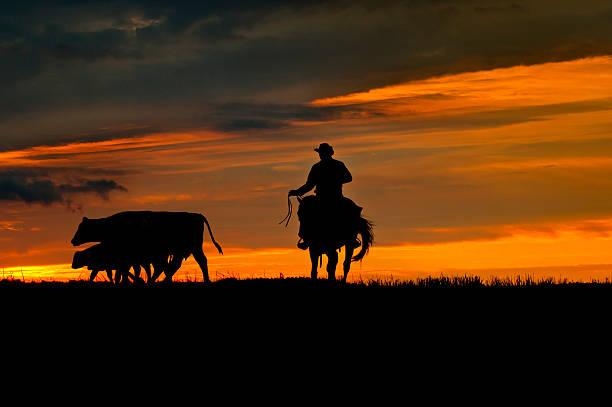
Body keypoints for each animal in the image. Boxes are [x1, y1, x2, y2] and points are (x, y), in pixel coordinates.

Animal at [70, 212, 222, 282]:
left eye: (81, 228)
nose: (72, 240)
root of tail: (196, 215)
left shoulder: (126, 256)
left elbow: (123, 271)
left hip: (193, 248)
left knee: (200, 262)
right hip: (184, 250)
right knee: (173, 266)